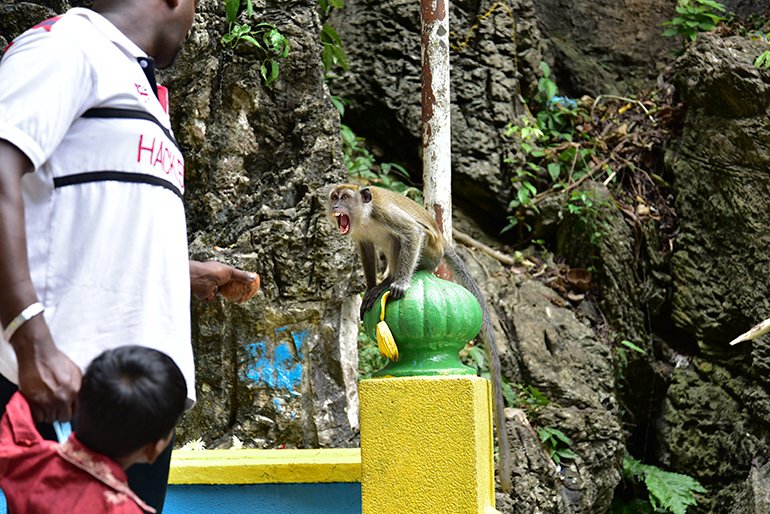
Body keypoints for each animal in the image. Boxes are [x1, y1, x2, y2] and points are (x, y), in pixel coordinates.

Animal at [324, 182, 510, 490]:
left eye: (345, 197)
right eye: (334, 197)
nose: (336, 207)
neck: (364, 216)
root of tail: (444, 242)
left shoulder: (384, 213)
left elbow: (411, 233)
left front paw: (396, 283)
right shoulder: (359, 233)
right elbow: (365, 247)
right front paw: (370, 287)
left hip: (431, 250)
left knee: (403, 240)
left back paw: (392, 280)